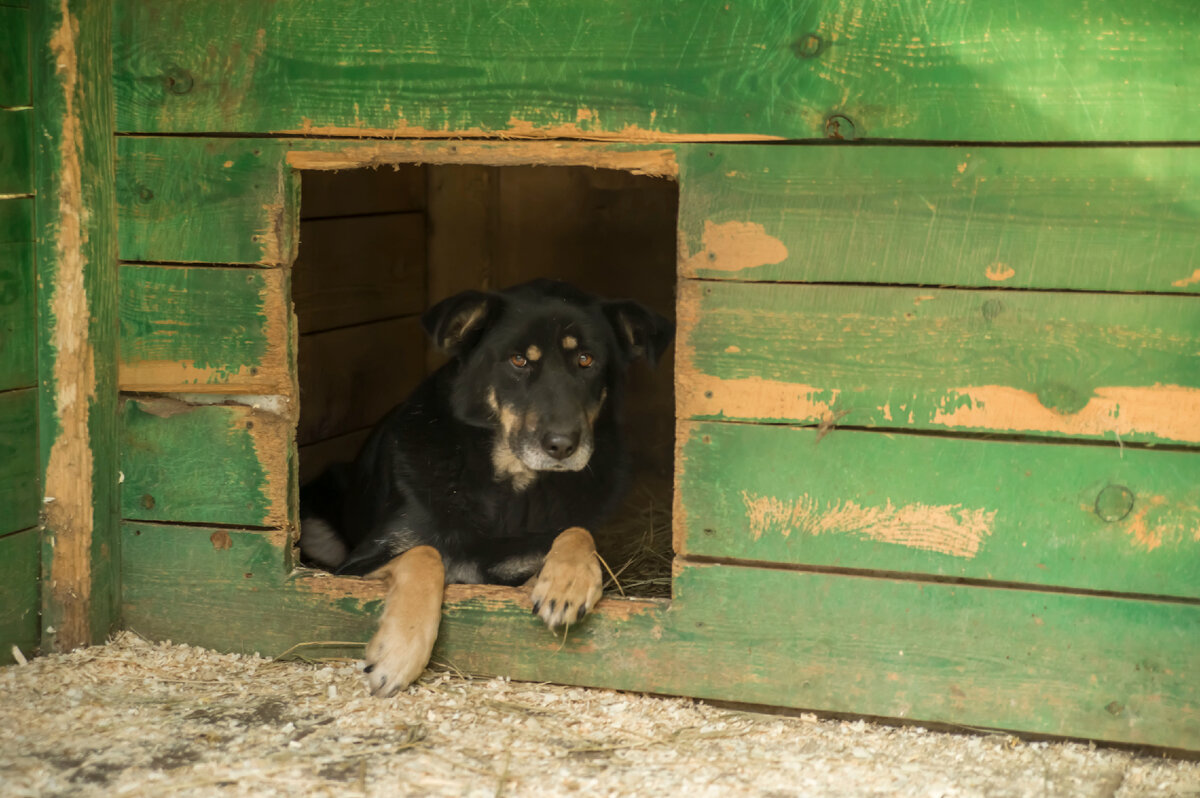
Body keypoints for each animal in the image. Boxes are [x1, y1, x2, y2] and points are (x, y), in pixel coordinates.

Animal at [297, 279, 676, 696]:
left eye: (586, 359)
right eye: (518, 361)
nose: (562, 446)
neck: (506, 490)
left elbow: (576, 532)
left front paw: (568, 581)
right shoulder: (351, 569)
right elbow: (424, 553)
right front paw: (398, 653)